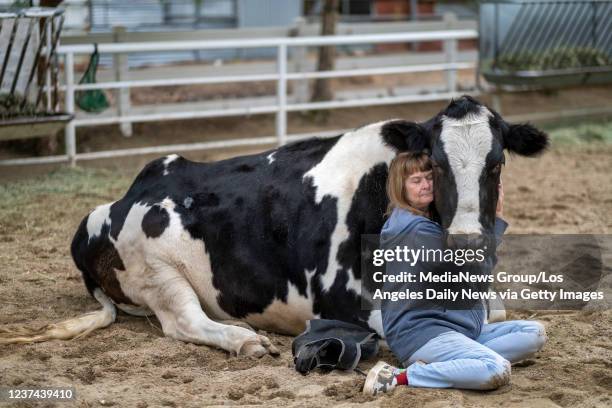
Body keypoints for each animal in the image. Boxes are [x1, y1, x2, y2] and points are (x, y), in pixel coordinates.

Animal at [2, 96, 548, 356]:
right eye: (433, 163)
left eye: (497, 162)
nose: (468, 242)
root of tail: (125, 195)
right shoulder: (343, 300)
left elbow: (498, 313)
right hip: (156, 268)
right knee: (183, 322)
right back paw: (242, 339)